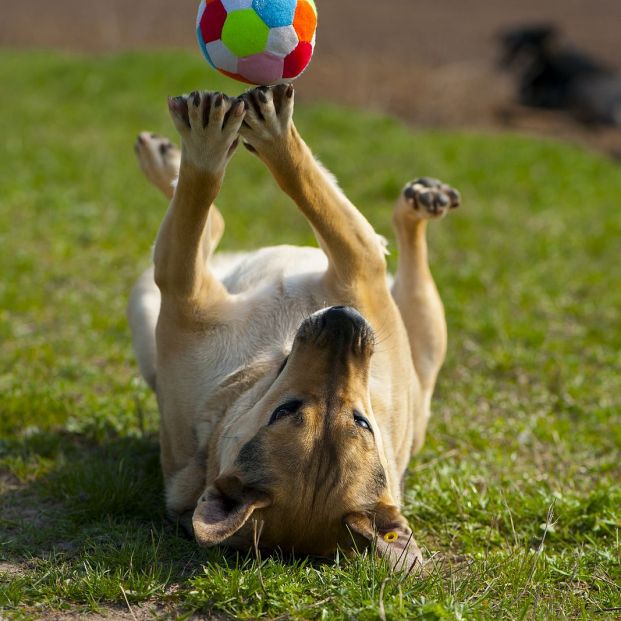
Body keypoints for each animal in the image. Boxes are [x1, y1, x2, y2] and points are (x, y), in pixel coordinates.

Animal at [130, 85, 460, 568]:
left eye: (362, 422)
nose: (345, 319)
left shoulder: (358, 265)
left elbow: (284, 185)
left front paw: (253, 136)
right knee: (211, 227)